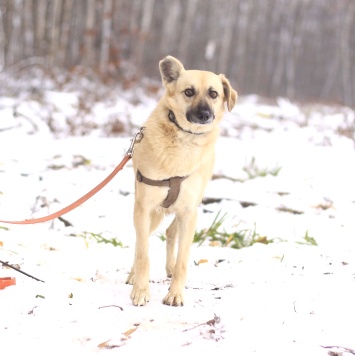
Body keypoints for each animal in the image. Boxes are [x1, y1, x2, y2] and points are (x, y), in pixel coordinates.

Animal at [126, 55, 238, 306]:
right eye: (189, 91)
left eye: (213, 94)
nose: (205, 115)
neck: (183, 140)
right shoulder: (144, 208)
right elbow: (142, 253)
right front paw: (141, 291)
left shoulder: (189, 212)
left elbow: (182, 260)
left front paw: (175, 293)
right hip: (150, 215)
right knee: (141, 242)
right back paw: (133, 275)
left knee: (170, 234)